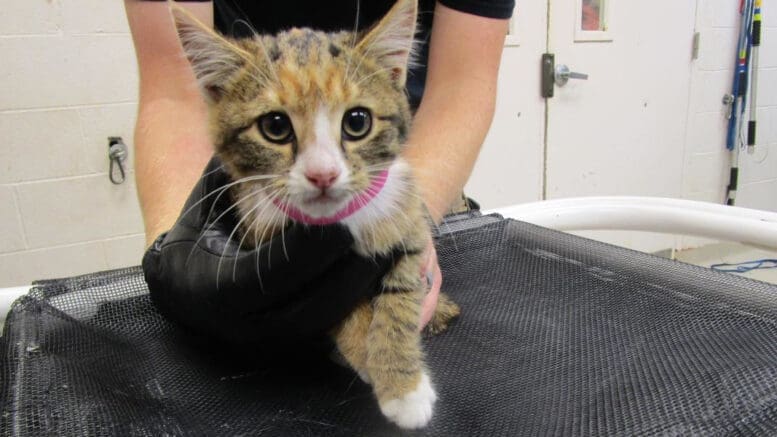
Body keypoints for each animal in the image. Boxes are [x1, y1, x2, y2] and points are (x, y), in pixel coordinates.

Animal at [172, 0, 458, 428]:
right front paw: (371, 362)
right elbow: (338, 307)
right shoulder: (304, 271)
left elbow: (402, 298)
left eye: (357, 121)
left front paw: (403, 386)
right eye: (275, 126)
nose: (322, 174)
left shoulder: (406, 221)